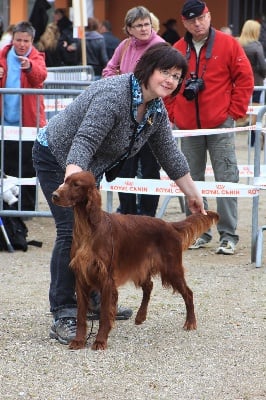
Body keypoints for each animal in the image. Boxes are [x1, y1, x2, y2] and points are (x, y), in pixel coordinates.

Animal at [52, 171, 218, 350]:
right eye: (65, 181)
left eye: (76, 184)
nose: (54, 195)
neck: (88, 228)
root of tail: (170, 225)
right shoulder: (81, 278)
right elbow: (81, 315)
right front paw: (78, 340)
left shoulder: (106, 279)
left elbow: (104, 315)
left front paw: (100, 341)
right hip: (142, 266)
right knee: (149, 286)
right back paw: (140, 316)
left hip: (171, 268)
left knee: (188, 293)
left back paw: (190, 322)